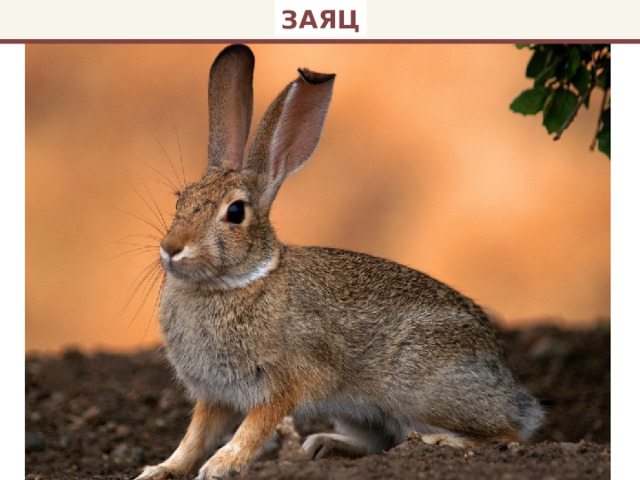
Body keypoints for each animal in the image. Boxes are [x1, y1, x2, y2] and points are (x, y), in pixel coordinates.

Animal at [135, 44, 544, 480]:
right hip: (361, 411)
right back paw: (325, 444)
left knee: (507, 436)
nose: (171, 248)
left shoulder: (284, 383)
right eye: (180, 199)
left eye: (235, 213)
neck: (236, 283)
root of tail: (508, 387)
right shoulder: (215, 395)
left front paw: (221, 465)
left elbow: (252, 428)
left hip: (424, 391)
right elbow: (194, 436)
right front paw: (160, 469)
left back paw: (441, 441)